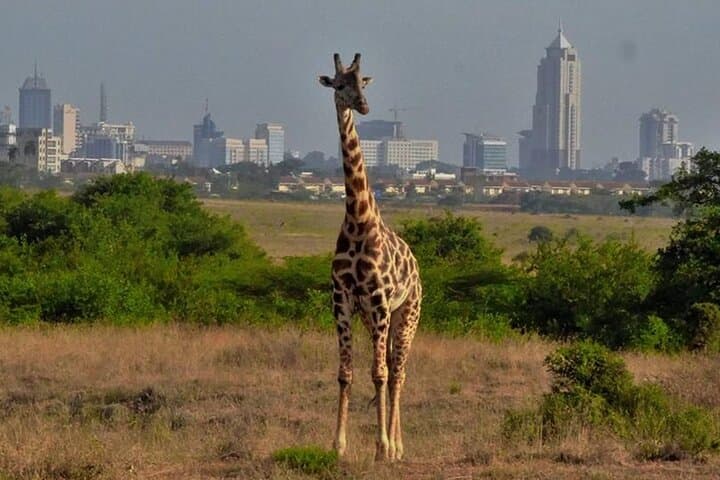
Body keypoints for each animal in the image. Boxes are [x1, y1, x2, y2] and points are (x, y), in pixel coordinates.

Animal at [318, 53, 422, 462]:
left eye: (362, 81)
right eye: (340, 84)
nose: (363, 106)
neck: (359, 220)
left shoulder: (378, 301)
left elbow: (379, 374)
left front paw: (381, 447)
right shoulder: (343, 300)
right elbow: (346, 373)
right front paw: (337, 445)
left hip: (406, 313)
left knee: (397, 372)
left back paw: (397, 446)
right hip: (374, 317)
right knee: (390, 367)